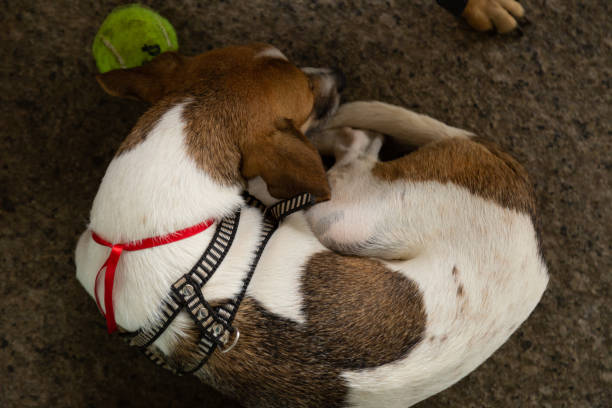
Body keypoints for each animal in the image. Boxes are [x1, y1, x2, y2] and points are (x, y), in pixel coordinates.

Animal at [74, 43, 548, 406]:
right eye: (306, 92)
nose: (339, 73)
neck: (139, 238)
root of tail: (520, 192)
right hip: (344, 214)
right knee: (362, 142)